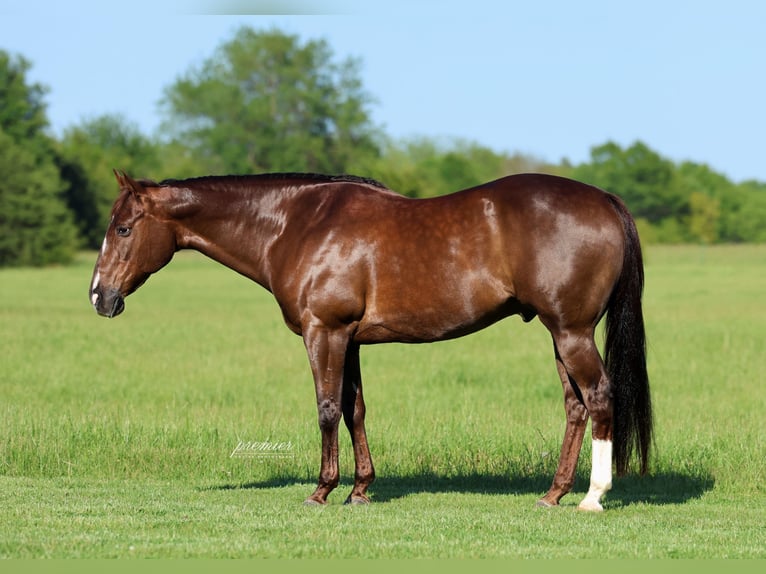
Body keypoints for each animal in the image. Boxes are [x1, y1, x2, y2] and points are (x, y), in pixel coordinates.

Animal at [89, 170, 652, 511]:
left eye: (123, 228)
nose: (98, 296)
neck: (297, 225)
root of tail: (604, 200)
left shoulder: (324, 332)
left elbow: (325, 409)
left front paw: (322, 490)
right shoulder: (351, 339)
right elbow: (354, 408)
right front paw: (360, 489)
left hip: (572, 332)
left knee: (599, 397)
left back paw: (592, 496)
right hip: (560, 334)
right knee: (575, 406)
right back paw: (553, 494)